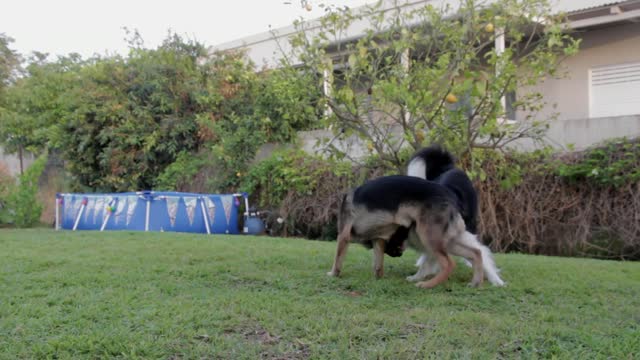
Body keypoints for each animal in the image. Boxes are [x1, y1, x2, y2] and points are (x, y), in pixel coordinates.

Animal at [328, 176, 502, 288]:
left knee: (448, 263)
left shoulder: (343, 236)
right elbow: (378, 265)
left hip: (429, 237)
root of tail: (452, 197)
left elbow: (338, 258)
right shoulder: (379, 240)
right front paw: (378, 278)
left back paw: (427, 284)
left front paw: (333, 274)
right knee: (476, 253)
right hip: (446, 241)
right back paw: (476, 283)